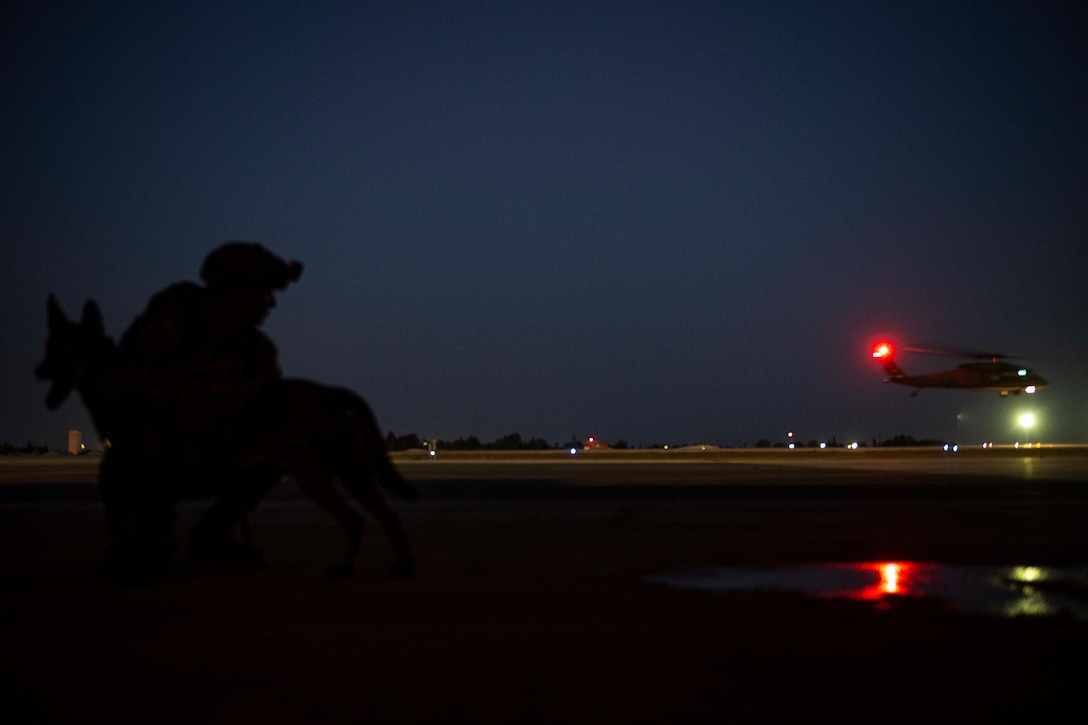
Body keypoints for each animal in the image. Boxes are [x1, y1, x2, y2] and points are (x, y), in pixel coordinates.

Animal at [36, 296, 413, 579]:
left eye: (60, 345)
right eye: (50, 342)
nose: (37, 370)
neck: (125, 392)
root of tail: (331, 392)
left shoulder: (143, 482)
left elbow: (136, 527)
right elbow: (143, 528)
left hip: (346, 469)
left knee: (387, 516)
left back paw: (402, 567)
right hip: (312, 478)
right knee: (356, 521)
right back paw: (346, 568)